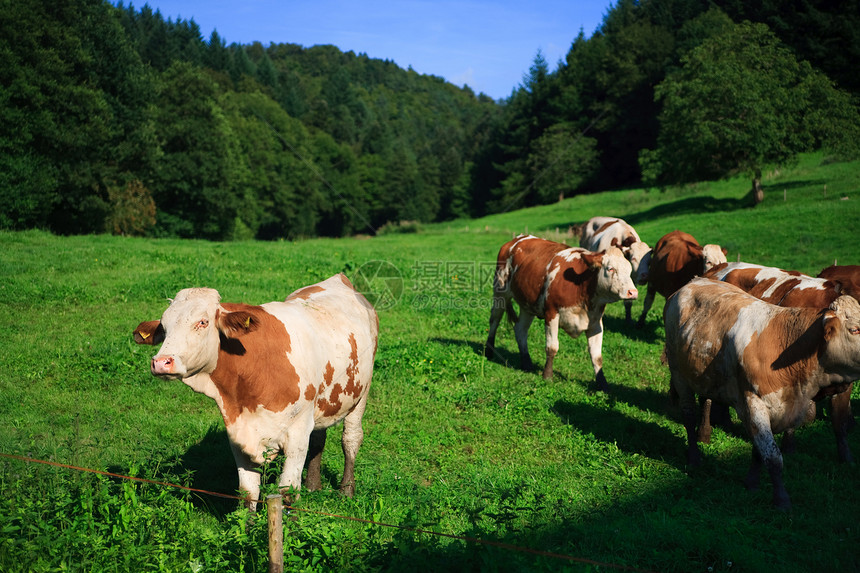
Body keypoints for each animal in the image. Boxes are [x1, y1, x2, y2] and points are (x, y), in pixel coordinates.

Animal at [134, 274, 376, 508]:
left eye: (202, 322)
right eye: (164, 327)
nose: (161, 362)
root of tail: (339, 278)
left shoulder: (297, 434)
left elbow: (288, 492)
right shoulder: (238, 434)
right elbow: (248, 492)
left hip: (361, 394)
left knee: (351, 439)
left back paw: (346, 491)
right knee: (319, 437)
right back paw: (313, 485)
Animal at [484, 233, 640, 388]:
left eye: (629, 271)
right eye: (610, 269)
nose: (632, 292)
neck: (582, 286)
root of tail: (517, 239)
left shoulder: (596, 322)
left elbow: (597, 356)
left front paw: (602, 384)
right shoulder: (551, 313)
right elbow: (552, 347)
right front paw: (547, 376)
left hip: (527, 305)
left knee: (520, 330)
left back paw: (527, 362)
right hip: (500, 292)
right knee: (494, 320)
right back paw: (489, 351)